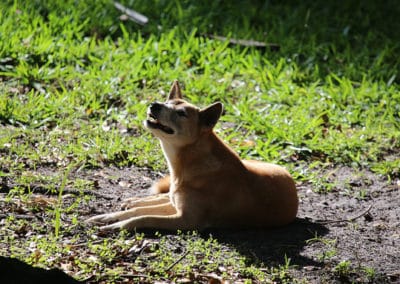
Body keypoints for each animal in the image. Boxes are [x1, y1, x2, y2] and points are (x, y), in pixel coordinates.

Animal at [88, 80, 300, 231]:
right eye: (166, 102)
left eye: (181, 113)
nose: (154, 105)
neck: (187, 162)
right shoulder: (177, 206)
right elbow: (140, 211)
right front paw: (109, 216)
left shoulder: (186, 219)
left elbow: (142, 217)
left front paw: (117, 224)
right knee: (160, 197)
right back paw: (134, 200)